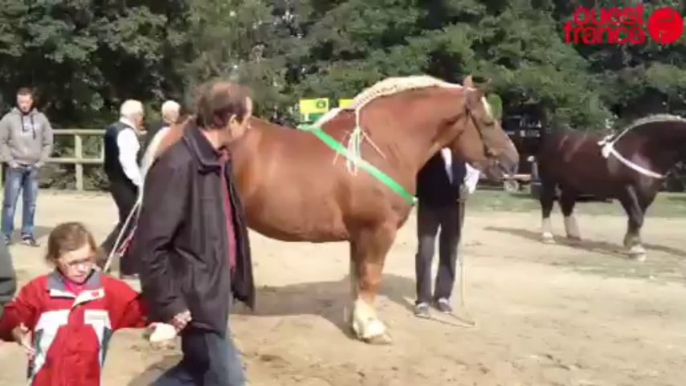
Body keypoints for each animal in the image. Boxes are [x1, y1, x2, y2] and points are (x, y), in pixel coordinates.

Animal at [137, 75, 520, 344]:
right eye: (488, 122)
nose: (513, 161)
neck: (380, 145)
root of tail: (177, 129)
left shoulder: (360, 236)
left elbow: (356, 278)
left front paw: (356, 323)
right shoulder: (378, 231)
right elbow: (370, 277)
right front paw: (372, 329)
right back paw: (166, 327)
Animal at [536, 113, 686, 260]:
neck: (643, 151)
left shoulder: (647, 194)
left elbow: (635, 218)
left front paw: (629, 243)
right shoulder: (627, 191)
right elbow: (637, 218)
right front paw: (637, 250)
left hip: (572, 185)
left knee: (567, 204)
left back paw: (574, 236)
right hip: (549, 181)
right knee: (547, 203)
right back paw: (547, 236)